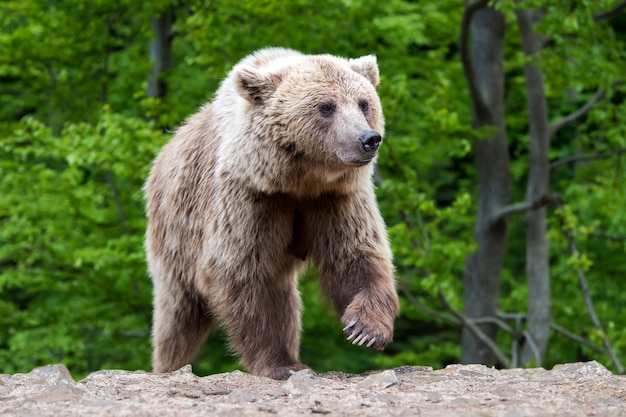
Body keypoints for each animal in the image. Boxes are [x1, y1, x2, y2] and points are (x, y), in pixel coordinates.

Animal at [144, 47, 398, 378]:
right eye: (326, 106)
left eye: (364, 103)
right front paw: (280, 364)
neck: (300, 179)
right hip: (175, 234)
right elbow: (240, 274)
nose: (368, 139)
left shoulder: (336, 199)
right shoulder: (249, 199)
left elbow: (355, 255)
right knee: (178, 317)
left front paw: (365, 329)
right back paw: (168, 365)